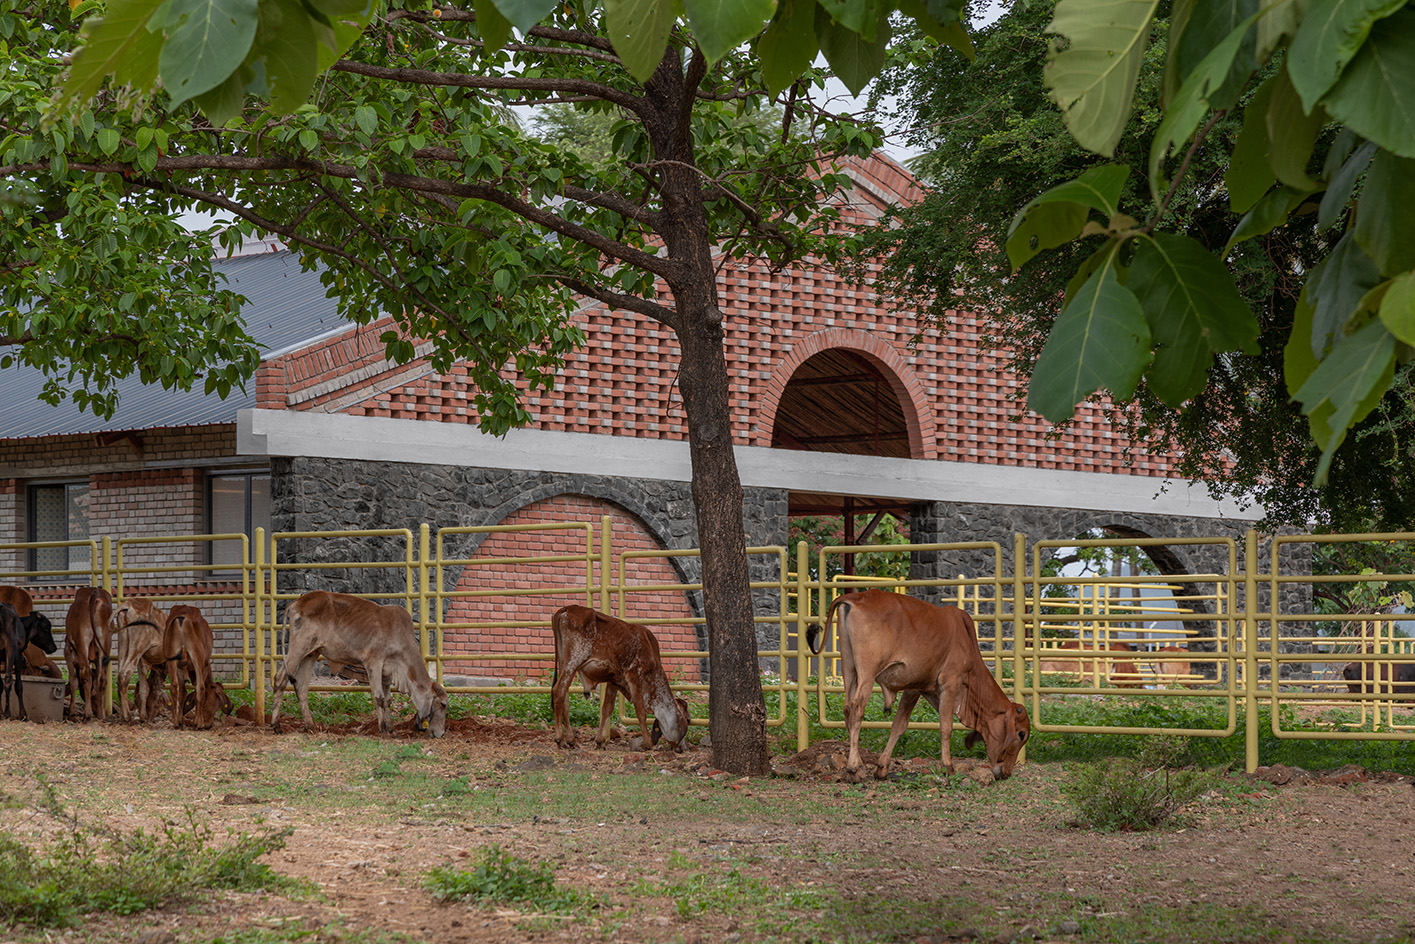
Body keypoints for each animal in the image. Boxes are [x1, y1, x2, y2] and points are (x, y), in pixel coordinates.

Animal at [65, 587, 114, 721]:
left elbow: (74, 681)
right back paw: (101, 715)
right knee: (102, 679)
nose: (95, 707)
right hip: (105, 643)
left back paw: (87, 714)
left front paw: (72, 712)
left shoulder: (68, 655)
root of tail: (95, 594)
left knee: (86, 675)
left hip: (83, 642)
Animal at [271, 591, 448, 737]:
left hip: (311, 653)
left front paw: (391, 729)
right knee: (280, 679)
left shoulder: (386, 672)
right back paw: (276, 726)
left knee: (301, 687)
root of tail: (297, 601)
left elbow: (387, 700)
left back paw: (310, 726)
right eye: (443, 704)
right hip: (299, 648)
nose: (441, 734)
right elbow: (378, 698)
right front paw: (383, 729)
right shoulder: (373, 663)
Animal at [550, 605, 688, 752]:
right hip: (573, 662)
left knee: (565, 698)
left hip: (563, 663)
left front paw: (600, 741)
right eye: (687, 720)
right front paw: (649, 743)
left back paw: (571, 741)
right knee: (558, 691)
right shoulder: (634, 676)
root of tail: (567, 608)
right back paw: (560, 739)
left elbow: (607, 709)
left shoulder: (614, 681)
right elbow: (640, 711)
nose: (683, 748)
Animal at [807, 590, 1031, 782]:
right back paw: (854, 768)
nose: (1006, 772)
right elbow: (946, 727)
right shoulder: (950, 682)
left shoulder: (916, 688)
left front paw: (882, 768)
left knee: (847, 709)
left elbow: (899, 725)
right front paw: (948, 766)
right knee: (857, 709)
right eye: (1021, 734)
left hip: (849, 670)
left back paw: (858, 764)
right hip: (867, 673)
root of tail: (857, 596)